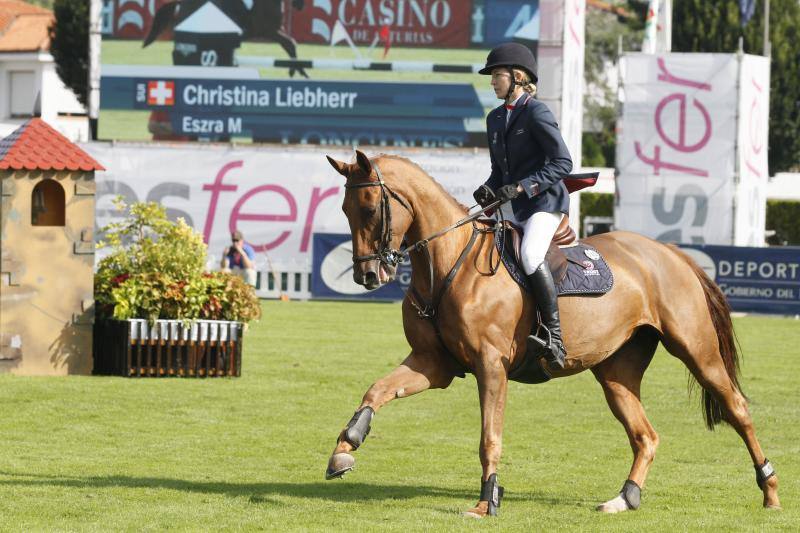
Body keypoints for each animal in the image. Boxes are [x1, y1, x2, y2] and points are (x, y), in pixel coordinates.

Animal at [322, 150, 780, 516]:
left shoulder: (491, 366)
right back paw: (625, 498)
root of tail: (670, 252)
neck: (448, 264)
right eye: (344, 210)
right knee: (645, 435)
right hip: (616, 371)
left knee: (737, 409)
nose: (367, 275)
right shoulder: (433, 364)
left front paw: (486, 501)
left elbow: (489, 436)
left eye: (369, 208)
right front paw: (345, 448)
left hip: (696, 350)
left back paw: (770, 490)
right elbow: (377, 390)